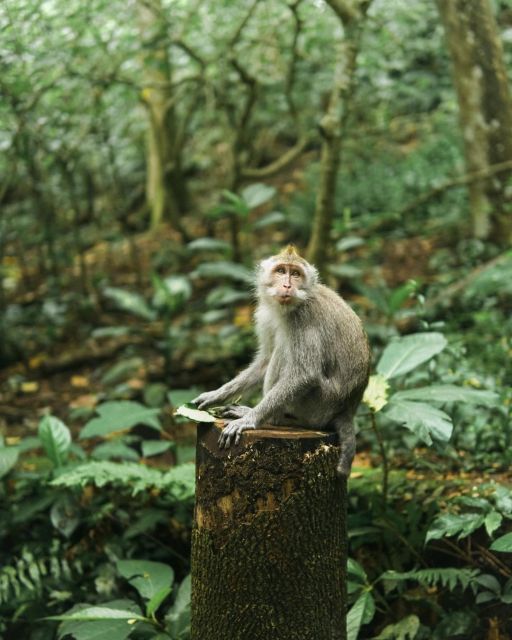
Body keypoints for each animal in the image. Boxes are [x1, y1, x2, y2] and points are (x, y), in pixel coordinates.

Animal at [193, 245, 370, 476]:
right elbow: (264, 360)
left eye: (295, 274)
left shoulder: (303, 319)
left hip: (317, 406)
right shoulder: (265, 314)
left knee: (284, 353)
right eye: (280, 271)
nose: (287, 285)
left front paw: (250, 419)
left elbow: (305, 374)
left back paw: (271, 418)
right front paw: (216, 394)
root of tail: (347, 411)